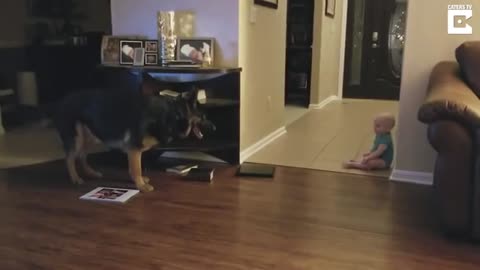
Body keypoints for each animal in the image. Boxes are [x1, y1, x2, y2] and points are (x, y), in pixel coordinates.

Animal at [53, 87, 216, 192]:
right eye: (203, 117)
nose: (215, 128)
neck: (171, 115)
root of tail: (61, 101)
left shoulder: (136, 151)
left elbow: (137, 168)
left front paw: (140, 181)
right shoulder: (134, 148)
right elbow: (136, 168)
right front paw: (141, 185)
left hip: (92, 136)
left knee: (81, 156)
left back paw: (91, 173)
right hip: (78, 138)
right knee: (69, 159)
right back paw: (75, 178)